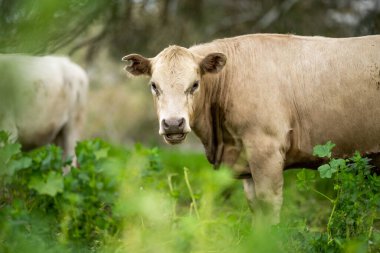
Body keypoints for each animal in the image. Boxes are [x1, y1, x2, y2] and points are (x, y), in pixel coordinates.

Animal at [122, 34, 380, 225]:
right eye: (154, 85)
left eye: (194, 84)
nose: (173, 123)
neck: (221, 141)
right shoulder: (246, 161)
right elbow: (256, 208)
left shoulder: (266, 151)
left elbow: (269, 206)